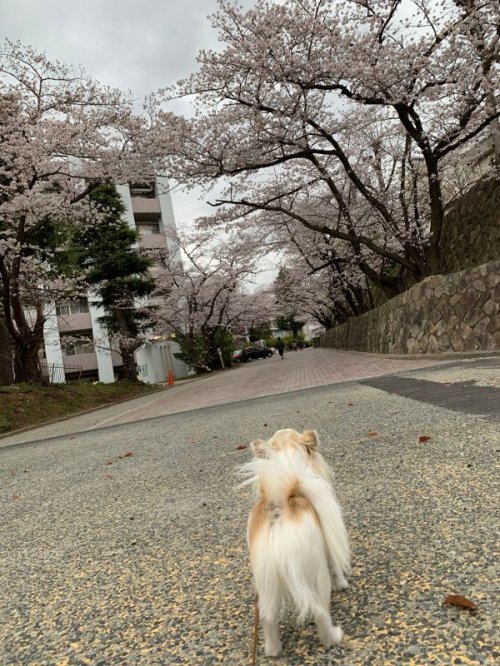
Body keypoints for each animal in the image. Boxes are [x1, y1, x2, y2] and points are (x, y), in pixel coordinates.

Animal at [240, 428, 350, 656]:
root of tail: (279, 507)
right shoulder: (327, 543)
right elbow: (336, 566)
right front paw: (342, 585)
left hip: (265, 581)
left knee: (269, 617)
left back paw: (273, 651)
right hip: (317, 576)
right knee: (320, 612)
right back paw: (334, 637)